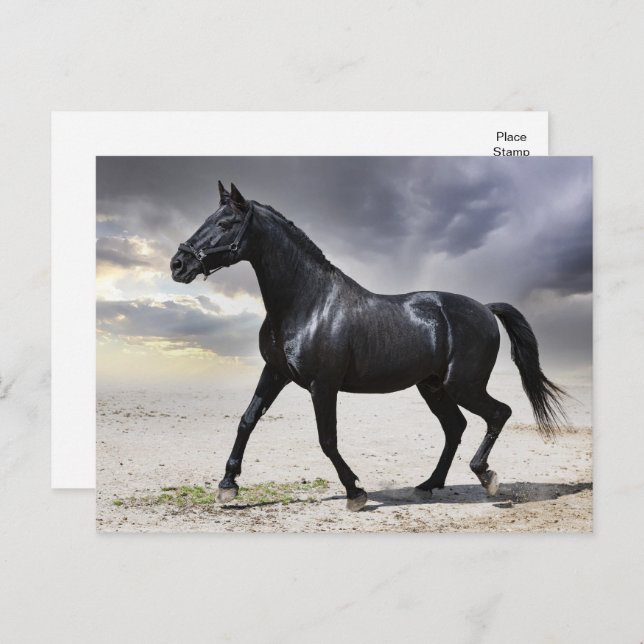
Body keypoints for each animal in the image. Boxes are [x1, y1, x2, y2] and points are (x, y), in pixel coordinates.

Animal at [171, 181, 567, 511]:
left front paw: (355, 493)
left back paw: (486, 477)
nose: (178, 264)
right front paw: (227, 486)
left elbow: (327, 440)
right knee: (455, 426)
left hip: (463, 385)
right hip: (433, 387)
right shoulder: (276, 373)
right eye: (208, 219)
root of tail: (485, 308)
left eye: (225, 224)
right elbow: (247, 420)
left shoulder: (323, 385)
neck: (307, 302)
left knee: (498, 414)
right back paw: (428, 485)